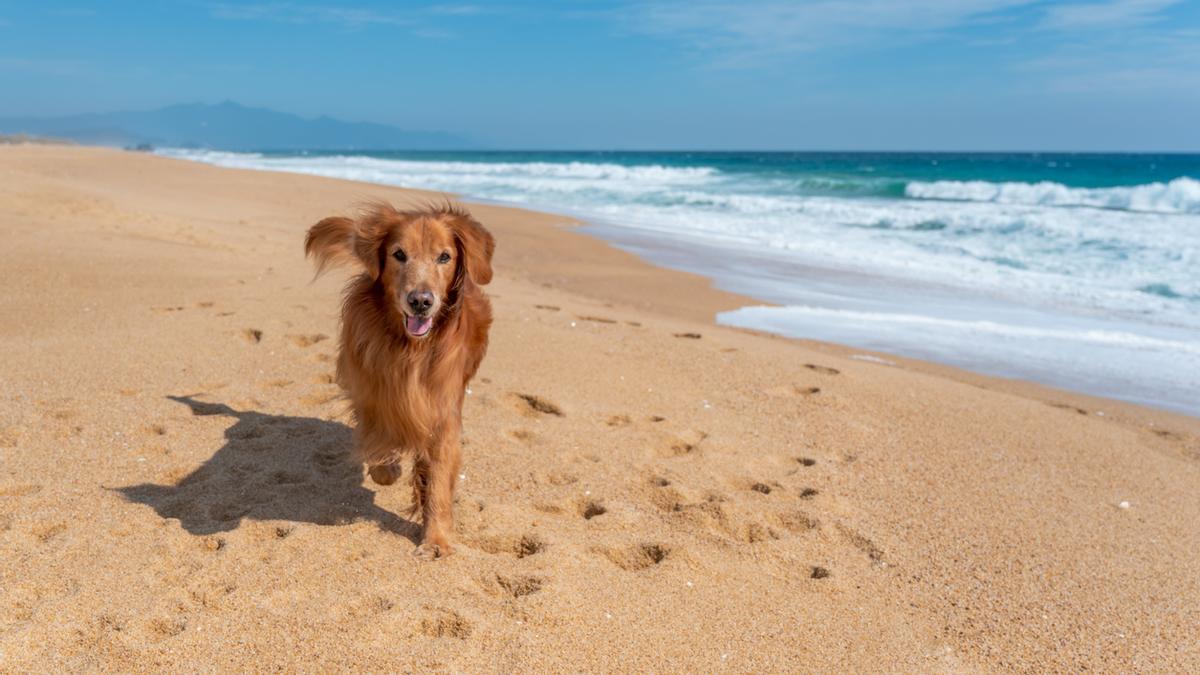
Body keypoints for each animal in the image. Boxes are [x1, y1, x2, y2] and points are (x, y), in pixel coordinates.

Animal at [309, 199, 496, 557]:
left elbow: (438, 482)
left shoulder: (443, 415)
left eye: (444, 257)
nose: (421, 302)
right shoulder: (370, 391)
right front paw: (388, 468)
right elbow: (379, 440)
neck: (410, 349)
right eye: (399, 254)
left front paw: (436, 540)